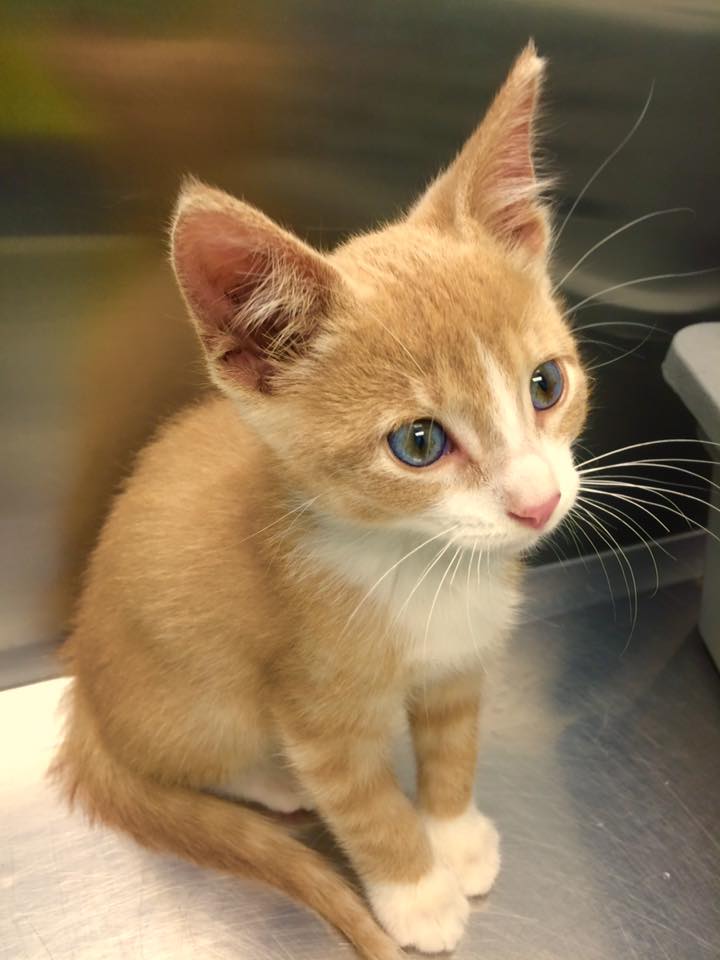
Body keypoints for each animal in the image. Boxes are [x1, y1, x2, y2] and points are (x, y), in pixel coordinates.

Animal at [53, 45, 588, 960]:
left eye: (545, 386)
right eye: (419, 443)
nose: (537, 502)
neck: (424, 563)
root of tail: (84, 700)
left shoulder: (461, 665)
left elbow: (453, 746)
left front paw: (454, 836)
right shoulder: (316, 709)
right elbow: (366, 806)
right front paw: (417, 892)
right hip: (203, 693)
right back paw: (267, 780)